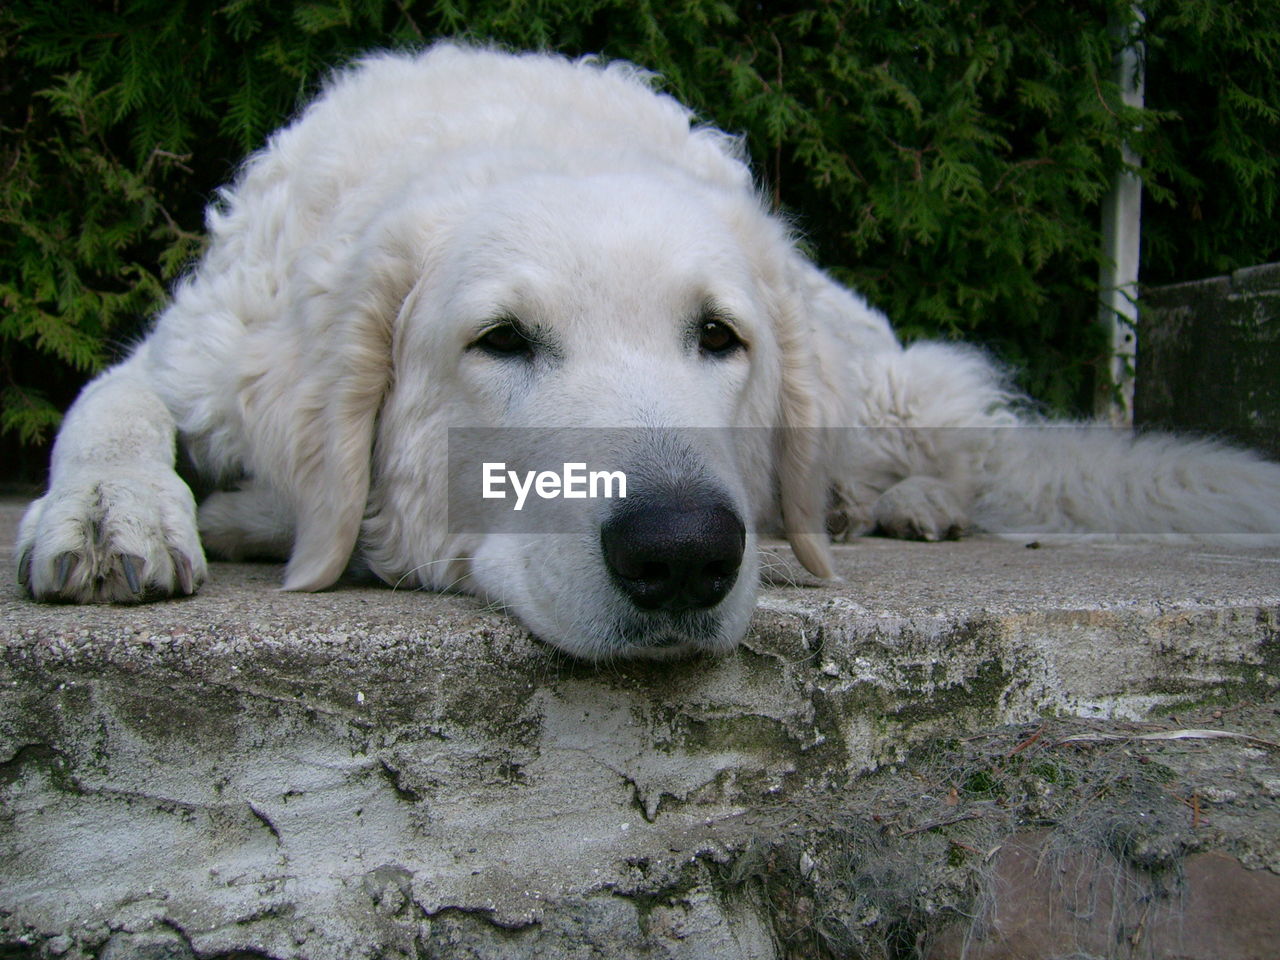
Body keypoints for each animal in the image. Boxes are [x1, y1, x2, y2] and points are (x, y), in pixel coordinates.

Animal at [12, 45, 1280, 660]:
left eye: (716, 337)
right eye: (501, 340)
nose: (683, 553)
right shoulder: (202, 352)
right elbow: (107, 400)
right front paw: (113, 510)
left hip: (871, 377)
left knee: (923, 441)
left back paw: (900, 504)